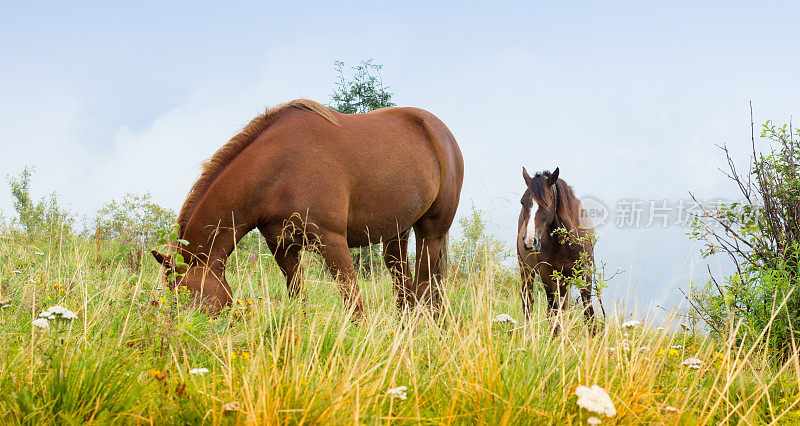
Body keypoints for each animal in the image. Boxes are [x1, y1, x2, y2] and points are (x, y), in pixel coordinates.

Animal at [152, 100, 462, 316]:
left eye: (187, 295)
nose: (188, 331)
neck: (279, 168)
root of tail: (441, 132)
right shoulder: (282, 245)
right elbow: (297, 295)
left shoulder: (332, 240)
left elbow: (354, 302)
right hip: (397, 231)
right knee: (403, 284)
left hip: (431, 232)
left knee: (425, 285)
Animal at [520, 167, 592, 332]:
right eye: (522, 202)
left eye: (546, 203)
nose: (530, 242)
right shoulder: (547, 275)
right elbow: (552, 312)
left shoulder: (585, 273)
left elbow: (588, 312)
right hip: (526, 271)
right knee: (528, 304)